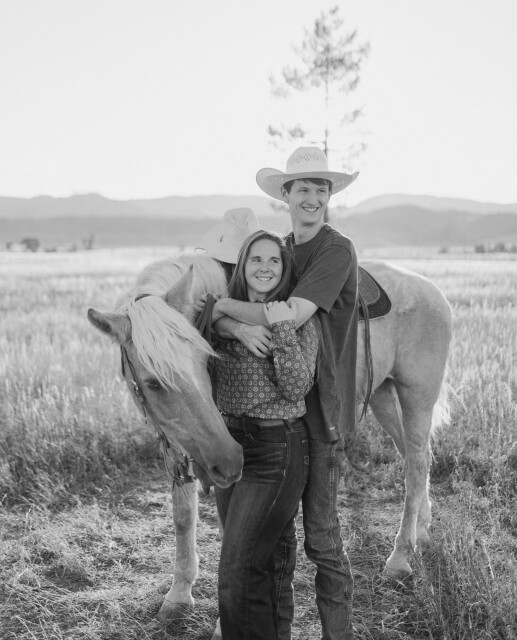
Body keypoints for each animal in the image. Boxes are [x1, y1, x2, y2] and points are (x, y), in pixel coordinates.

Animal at [88, 253, 452, 626]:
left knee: (415, 464)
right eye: (153, 382)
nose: (229, 459)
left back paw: (400, 557)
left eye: (205, 360)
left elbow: (231, 530)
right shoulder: (182, 444)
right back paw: (421, 529)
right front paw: (179, 594)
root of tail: (432, 291)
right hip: (382, 396)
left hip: (417, 396)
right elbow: (183, 517)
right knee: (416, 457)